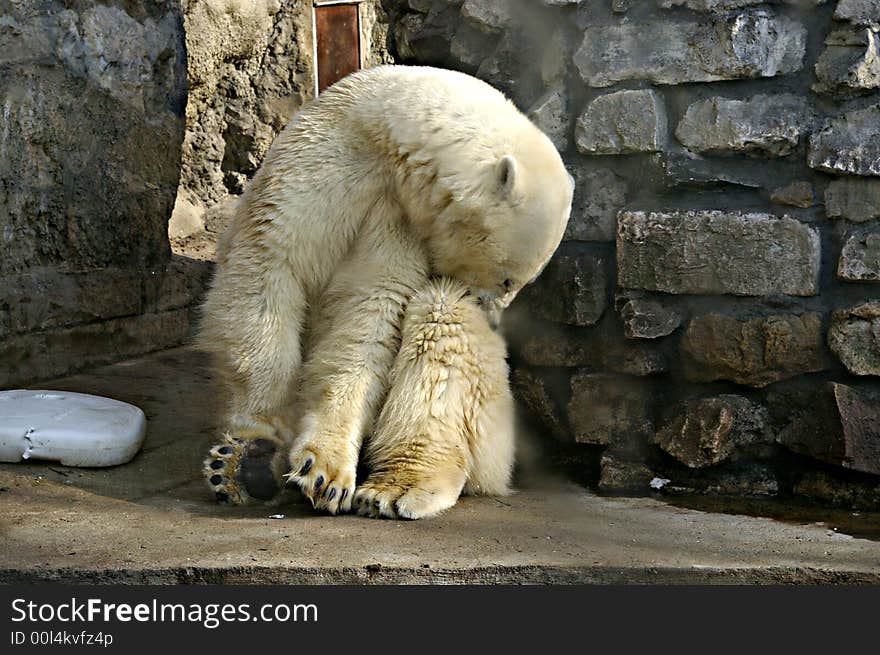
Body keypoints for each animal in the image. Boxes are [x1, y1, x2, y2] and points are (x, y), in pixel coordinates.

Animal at [199, 65, 576, 516]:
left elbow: (372, 316)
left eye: (521, 283)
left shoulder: (401, 221)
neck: (384, 141)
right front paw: (259, 444)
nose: (493, 320)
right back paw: (243, 471)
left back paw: (396, 487)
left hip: (491, 422)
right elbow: (269, 267)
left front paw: (323, 472)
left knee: (441, 322)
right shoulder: (323, 164)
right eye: (509, 280)